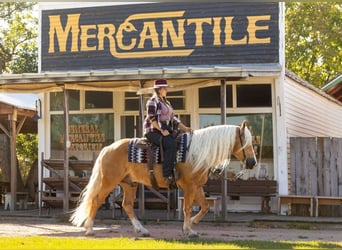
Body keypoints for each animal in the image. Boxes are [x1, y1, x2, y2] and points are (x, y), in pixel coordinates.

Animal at [70, 121, 256, 238]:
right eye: (246, 143)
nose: (252, 162)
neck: (196, 152)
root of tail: (108, 148)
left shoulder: (197, 186)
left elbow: (204, 207)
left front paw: (192, 225)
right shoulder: (189, 186)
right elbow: (188, 208)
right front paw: (188, 230)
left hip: (129, 184)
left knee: (127, 205)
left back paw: (142, 230)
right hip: (108, 182)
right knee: (96, 201)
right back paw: (90, 229)